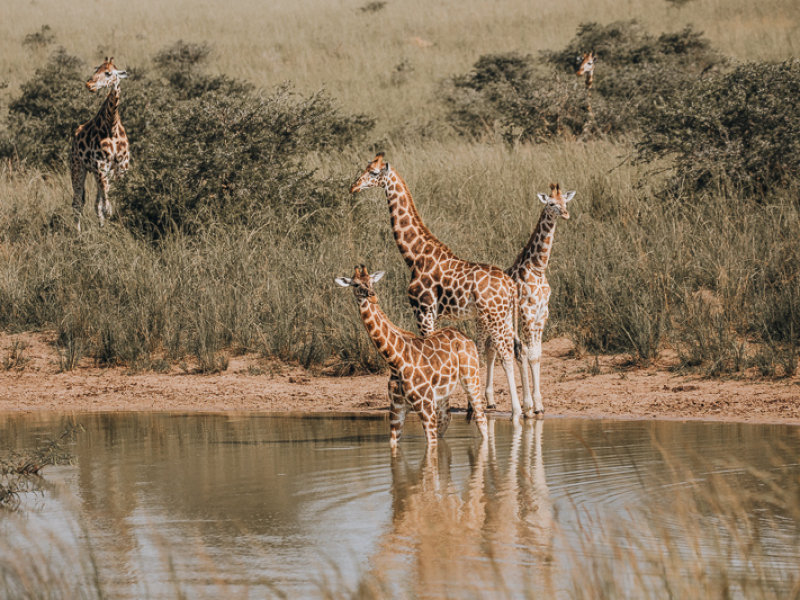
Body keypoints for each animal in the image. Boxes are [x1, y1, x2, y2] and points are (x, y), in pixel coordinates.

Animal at [332, 264, 488, 448]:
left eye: (371, 281)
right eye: (355, 284)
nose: (372, 296)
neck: (394, 359)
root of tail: (464, 336)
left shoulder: (424, 404)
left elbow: (431, 446)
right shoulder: (397, 408)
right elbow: (394, 444)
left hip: (471, 377)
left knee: (481, 418)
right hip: (443, 393)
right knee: (446, 419)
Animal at [352, 154, 532, 418]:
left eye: (374, 173)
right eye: (365, 168)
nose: (353, 186)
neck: (415, 256)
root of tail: (511, 286)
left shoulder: (423, 310)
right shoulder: (433, 314)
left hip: (495, 316)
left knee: (507, 353)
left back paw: (516, 410)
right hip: (507, 315)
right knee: (519, 349)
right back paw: (530, 407)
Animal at [506, 183, 576, 418]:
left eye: (566, 201)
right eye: (551, 204)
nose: (566, 214)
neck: (538, 269)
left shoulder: (541, 313)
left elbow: (536, 354)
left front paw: (539, 405)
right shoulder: (527, 311)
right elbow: (527, 354)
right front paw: (529, 406)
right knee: (507, 353)